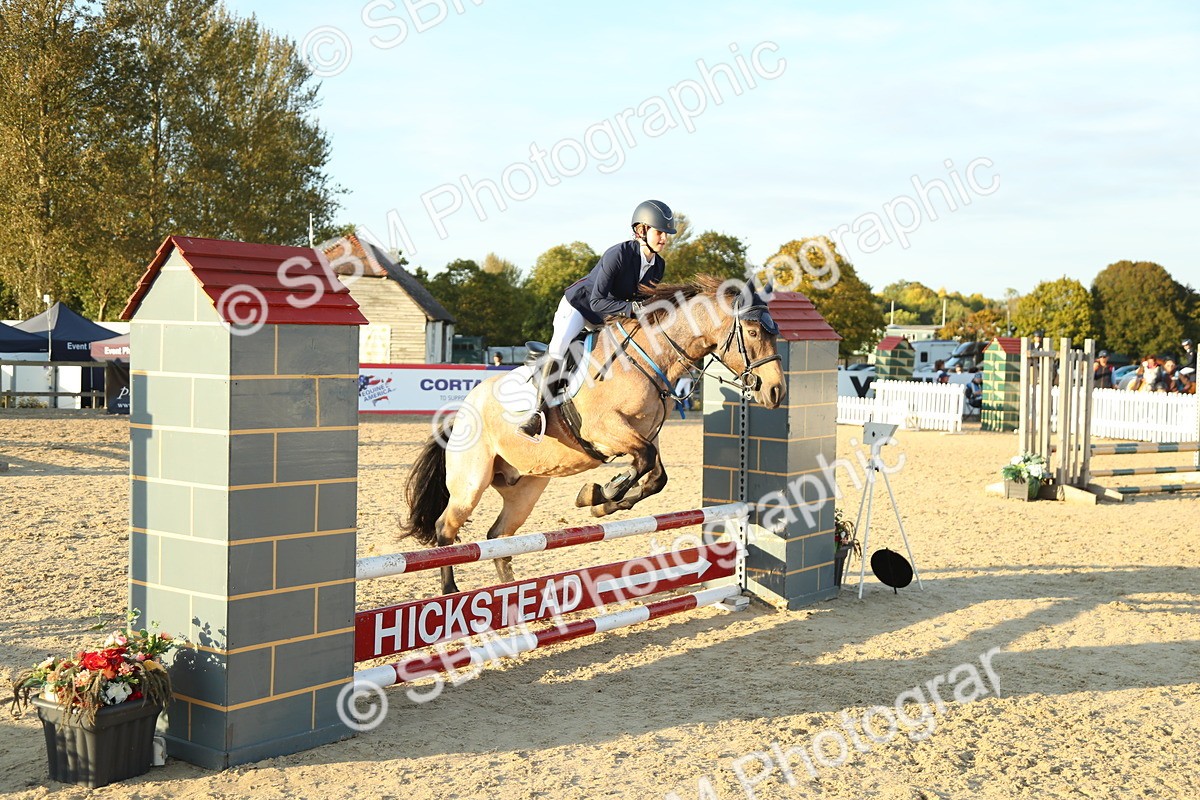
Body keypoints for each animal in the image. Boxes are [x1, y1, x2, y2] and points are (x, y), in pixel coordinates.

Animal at [403, 276, 787, 594]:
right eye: (754, 333)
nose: (776, 392)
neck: (647, 357)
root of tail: (462, 412)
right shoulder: (604, 429)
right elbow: (642, 464)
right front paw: (602, 492)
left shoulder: (646, 434)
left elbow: (655, 477)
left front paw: (603, 501)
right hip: (470, 483)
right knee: (446, 528)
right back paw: (451, 592)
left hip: (523, 489)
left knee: (498, 538)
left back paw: (510, 600)